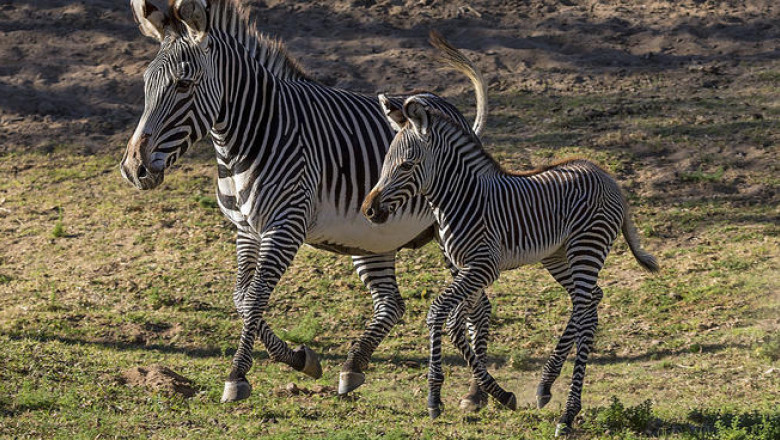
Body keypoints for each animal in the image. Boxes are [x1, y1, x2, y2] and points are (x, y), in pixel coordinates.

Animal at [121, 0, 494, 407]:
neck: (247, 138)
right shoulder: (245, 230)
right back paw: (353, 367)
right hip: (371, 238)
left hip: (453, 233)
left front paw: (237, 376)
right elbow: (241, 298)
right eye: (145, 84)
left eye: (184, 85)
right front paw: (301, 359)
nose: (134, 169)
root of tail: (454, 114)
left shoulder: (285, 227)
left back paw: (476, 391)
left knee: (478, 307)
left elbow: (254, 298)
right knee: (392, 303)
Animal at [362, 93, 659, 435]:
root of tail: (606, 175)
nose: (368, 210)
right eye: (385, 163)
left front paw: (434, 397)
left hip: (586, 247)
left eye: (407, 165)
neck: (461, 198)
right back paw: (546, 384)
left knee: (585, 311)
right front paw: (498, 394)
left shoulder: (483, 266)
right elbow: (456, 324)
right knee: (589, 302)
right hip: (557, 256)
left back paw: (568, 414)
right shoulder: (466, 268)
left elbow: (438, 311)